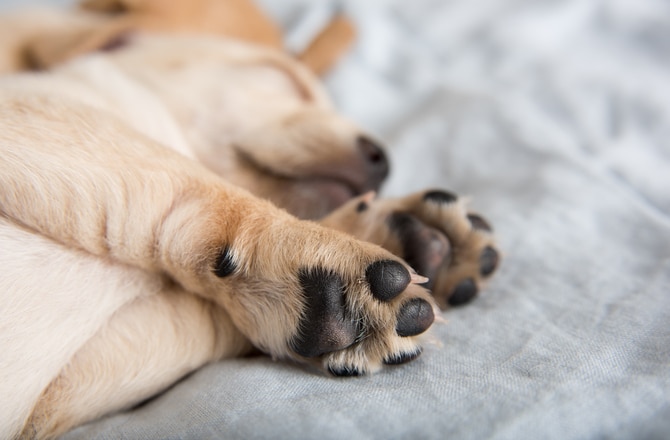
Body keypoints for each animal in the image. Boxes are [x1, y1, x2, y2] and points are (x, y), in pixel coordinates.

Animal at [0, 33, 496, 436]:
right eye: (283, 78)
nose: (384, 162)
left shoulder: (53, 397)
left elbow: (202, 318)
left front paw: (397, 238)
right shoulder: (41, 114)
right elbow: (197, 186)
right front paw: (317, 262)